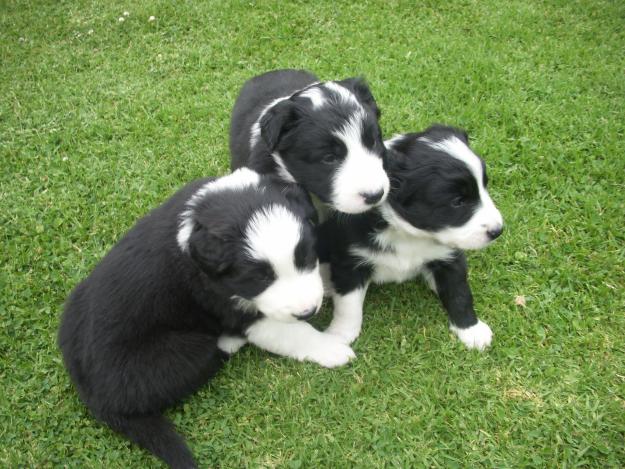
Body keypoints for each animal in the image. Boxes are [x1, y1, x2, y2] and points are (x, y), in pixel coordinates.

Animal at [59, 168, 354, 468]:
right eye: (260, 278)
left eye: (305, 257)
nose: (308, 311)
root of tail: (93, 397)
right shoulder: (228, 303)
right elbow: (295, 334)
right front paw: (331, 349)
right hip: (180, 353)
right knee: (209, 356)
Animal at [320, 126, 504, 350]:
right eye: (458, 201)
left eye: (484, 187)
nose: (498, 230)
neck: (408, 234)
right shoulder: (351, 262)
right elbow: (349, 305)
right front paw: (339, 336)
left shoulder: (450, 256)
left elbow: (459, 292)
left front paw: (471, 328)